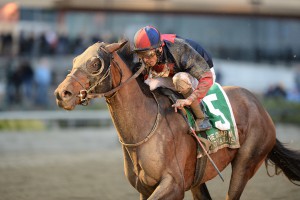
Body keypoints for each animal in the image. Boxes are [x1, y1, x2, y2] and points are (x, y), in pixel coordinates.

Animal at [54, 40, 300, 200]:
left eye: (95, 63)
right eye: (75, 60)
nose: (61, 94)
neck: (144, 125)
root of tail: (259, 105)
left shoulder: (173, 185)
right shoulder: (146, 189)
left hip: (246, 163)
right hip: (198, 179)